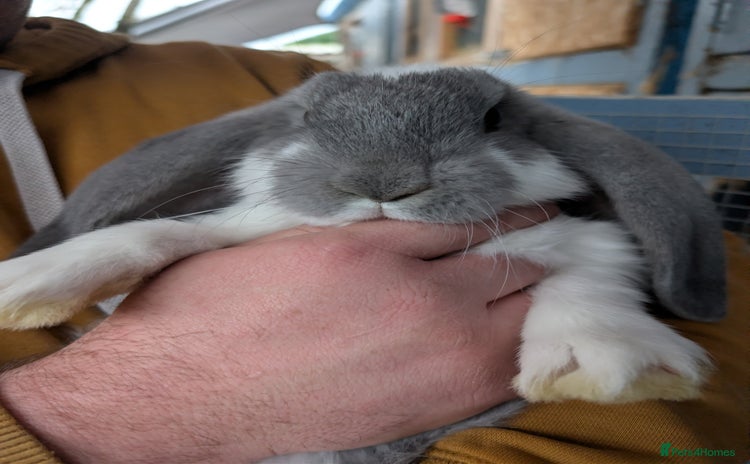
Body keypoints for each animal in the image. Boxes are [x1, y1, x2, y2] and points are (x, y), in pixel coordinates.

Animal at [0, 68, 726, 464]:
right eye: (304, 117)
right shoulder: (239, 227)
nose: (383, 182)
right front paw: (27, 283)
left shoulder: (589, 241)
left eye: (494, 117)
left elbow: (590, 286)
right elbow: (154, 233)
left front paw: (611, 361)